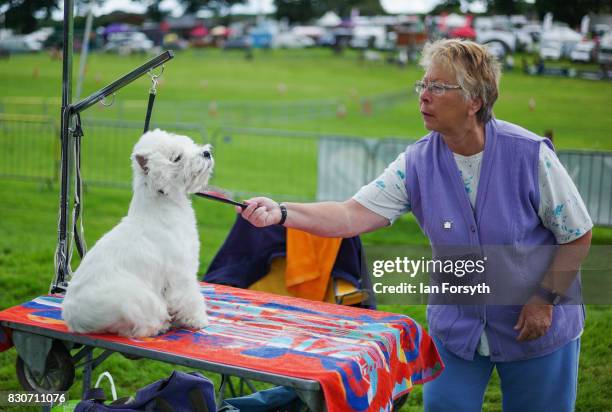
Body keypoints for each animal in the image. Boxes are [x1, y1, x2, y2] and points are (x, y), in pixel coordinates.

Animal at [62, 129, 213, 338]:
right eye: (177, 157)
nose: (206, 153)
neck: (163, 201)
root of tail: (75, 321)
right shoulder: (181, 272)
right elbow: (189, 297)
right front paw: (198, 320)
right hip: (136, 297)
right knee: (138, 325)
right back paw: (160, 325)